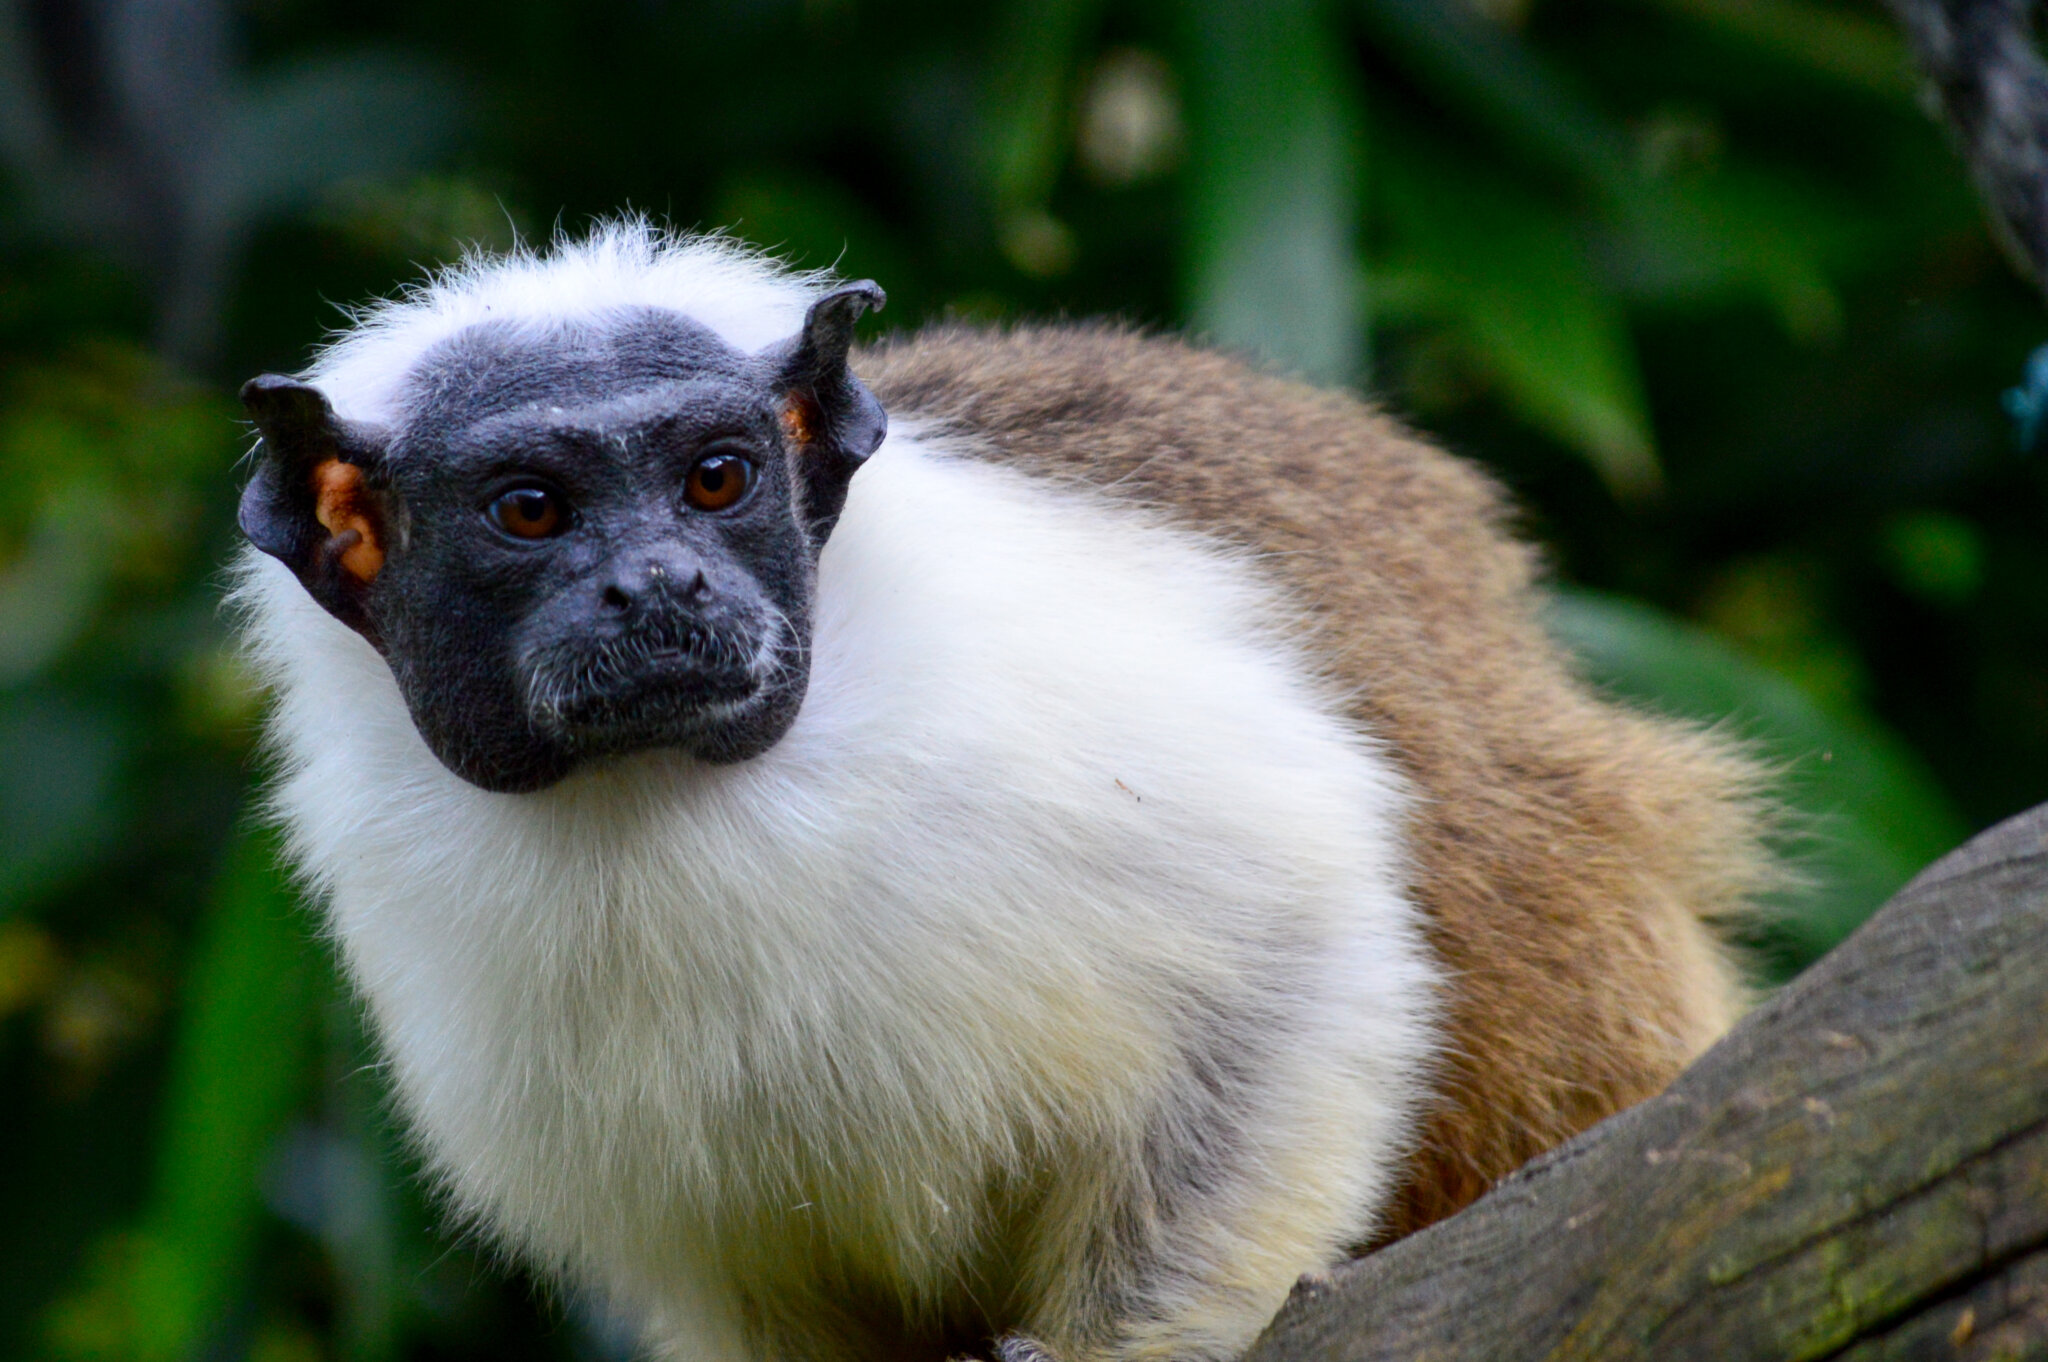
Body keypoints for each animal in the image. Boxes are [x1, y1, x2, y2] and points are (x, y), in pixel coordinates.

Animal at [228, 223, 1777, 1359]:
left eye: (718, 480)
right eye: (531, 511)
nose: (662, 586)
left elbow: (1296, 961)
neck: (666, 797)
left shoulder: (1046, 729)